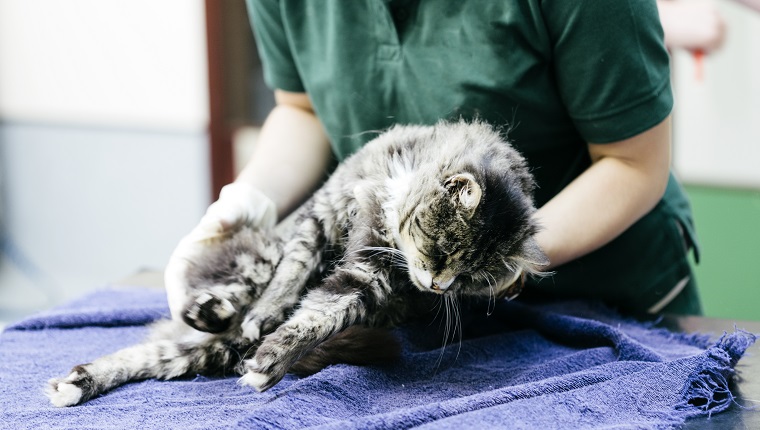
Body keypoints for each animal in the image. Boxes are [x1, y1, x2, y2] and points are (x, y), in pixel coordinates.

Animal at [46, 120, 548, 406]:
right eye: (443, 252)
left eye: (468, 279)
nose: (438, 287)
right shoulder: (321, 217)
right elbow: (289, 278)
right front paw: (267, 315)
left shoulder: (370, 279)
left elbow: (315, 319)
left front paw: (271, 361)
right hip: (258, 257)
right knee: (226, 295)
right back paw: (213, 310)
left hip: (206, 351)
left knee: (150, 358)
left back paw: (76, 384)